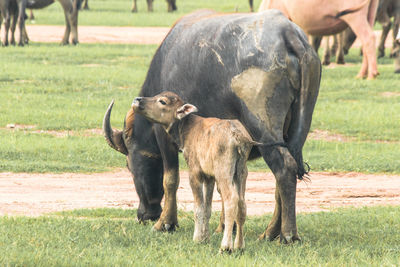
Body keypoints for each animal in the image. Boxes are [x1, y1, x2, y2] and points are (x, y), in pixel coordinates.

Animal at [131, 92, 256, 253]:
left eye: (162, 101)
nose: (137, 100)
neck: (187, 131)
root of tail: (238, 135)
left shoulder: (195, 173)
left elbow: (198, 208)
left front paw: (197, 238)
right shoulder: (209, 177)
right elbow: (207, 208)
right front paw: (205, 237)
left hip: (224, 172)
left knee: (231, 200)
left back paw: (226, 247)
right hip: (241, 172)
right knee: (242, 203)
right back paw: (239, 245)